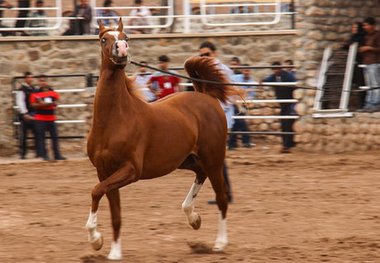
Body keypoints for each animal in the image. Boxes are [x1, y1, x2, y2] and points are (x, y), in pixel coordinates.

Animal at [86, 19, 235, 260]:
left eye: (126, 37)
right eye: (103, 39)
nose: (122, 49)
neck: (115, 120)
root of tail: (207, 96)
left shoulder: (131, 170)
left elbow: (96, 191)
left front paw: (96, 240)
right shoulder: (105, 171)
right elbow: (114, 212)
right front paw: (113, 251)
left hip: (213, 158)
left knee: (221, 198)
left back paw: (220, 243)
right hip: (186, 160)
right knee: (200, 175)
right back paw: (193, 218)